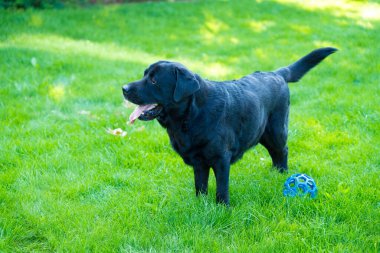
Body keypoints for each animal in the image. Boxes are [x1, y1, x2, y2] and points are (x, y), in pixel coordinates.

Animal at [121, 48, 336, 206]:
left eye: (154, 80)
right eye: (145, 75)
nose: (124, 88)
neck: (191, 116)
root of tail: (276, 73)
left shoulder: (220, 159)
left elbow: (221, 187)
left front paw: (222, 207)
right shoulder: (199, 161)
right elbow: (200, 185)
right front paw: (201, 204)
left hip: (276, 131)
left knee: (282, 151)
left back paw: (281, 174)